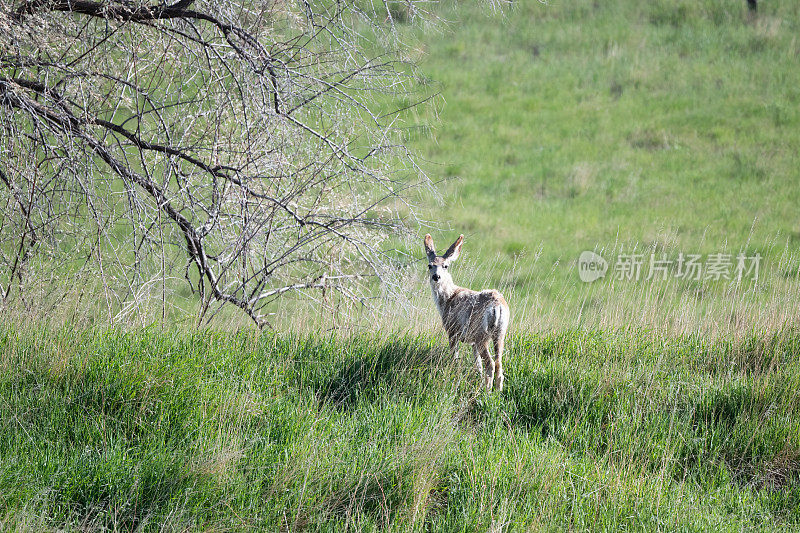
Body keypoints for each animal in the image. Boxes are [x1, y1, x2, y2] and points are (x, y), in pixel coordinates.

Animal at [422, 234, 510, 390]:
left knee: (490, 363)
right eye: (430, 265)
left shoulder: (452, 331)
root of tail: (497, 306)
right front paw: (477, 378)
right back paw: (497, 391)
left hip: (482, 333)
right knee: (498, 363)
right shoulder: (472, 341)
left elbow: (455, 357)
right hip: (500, 333)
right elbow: (477, 364)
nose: (436, 277)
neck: (448, 298)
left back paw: (487, 391)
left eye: (446, 266)